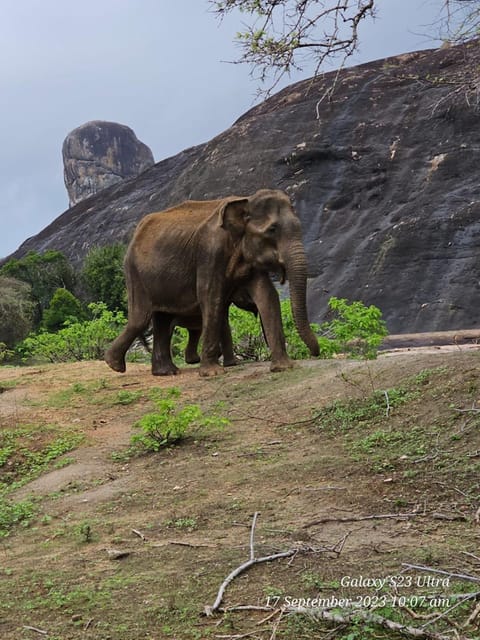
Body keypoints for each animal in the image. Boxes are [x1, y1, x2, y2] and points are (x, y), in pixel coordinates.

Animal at [105, 190, 318, 378]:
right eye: (272, 230)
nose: (316, 353)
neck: (245, 200)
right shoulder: (209, 253)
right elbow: (211, 297)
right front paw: (213, 373)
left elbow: (267, 295)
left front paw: (284, 368)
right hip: (134, 273)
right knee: (140, 318)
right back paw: (115, 365)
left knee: (162, 319)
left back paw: (166, 372)